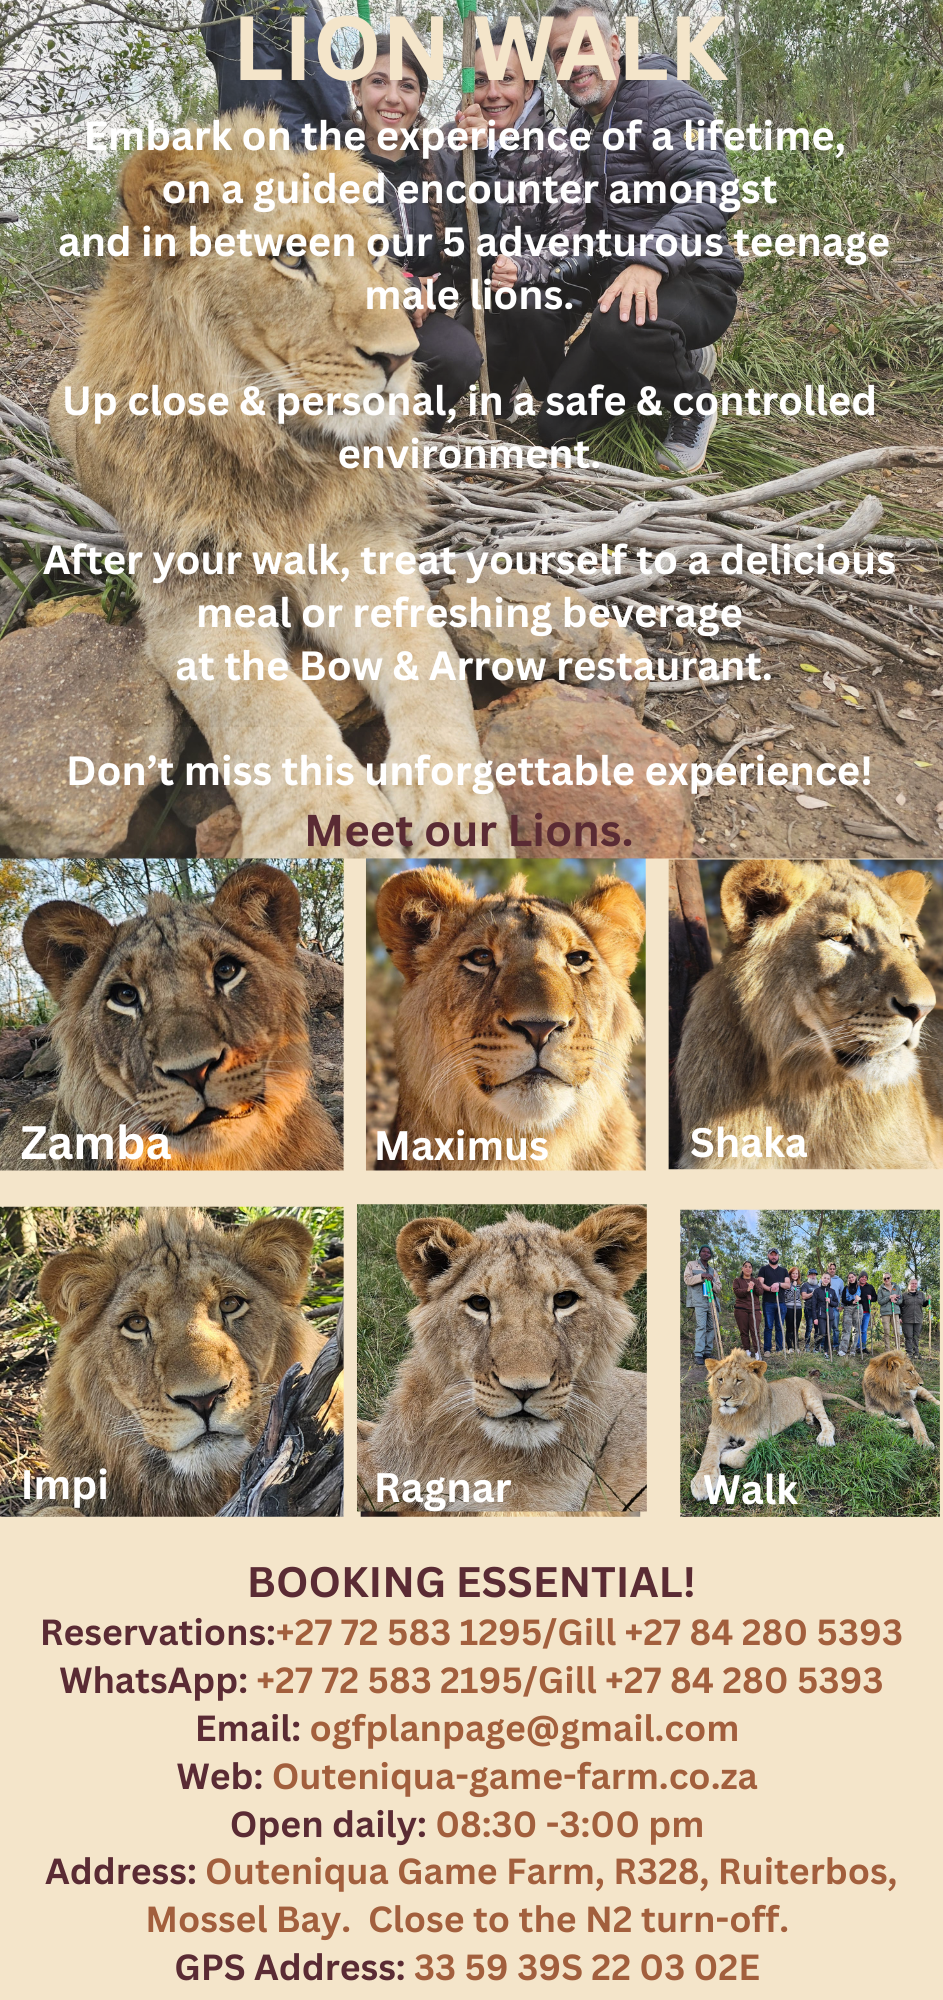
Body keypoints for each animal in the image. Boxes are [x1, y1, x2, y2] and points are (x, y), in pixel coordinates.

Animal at [48, 110, 510, 860]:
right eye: (293, 259)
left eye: (376, 255)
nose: (401, 358)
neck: (282, 451)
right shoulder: (193, 594)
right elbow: (266, 708)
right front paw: (334, 838)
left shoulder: (356, 544)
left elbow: (428, 655)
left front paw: (457, 804)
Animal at [691, 1352, 863, 1500]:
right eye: (720, 1379)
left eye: (739, 1380)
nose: (724, 1399)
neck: (735, 1415)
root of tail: (813, 1384)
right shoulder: (716, 1431)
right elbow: (709, 1454)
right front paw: (702, 1482)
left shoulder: (760, 1436)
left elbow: (737, 1457)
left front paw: (726, 1451)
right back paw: (808, 1418)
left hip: (811, 1397)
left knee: (828, 1422)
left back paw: (825, 1437)